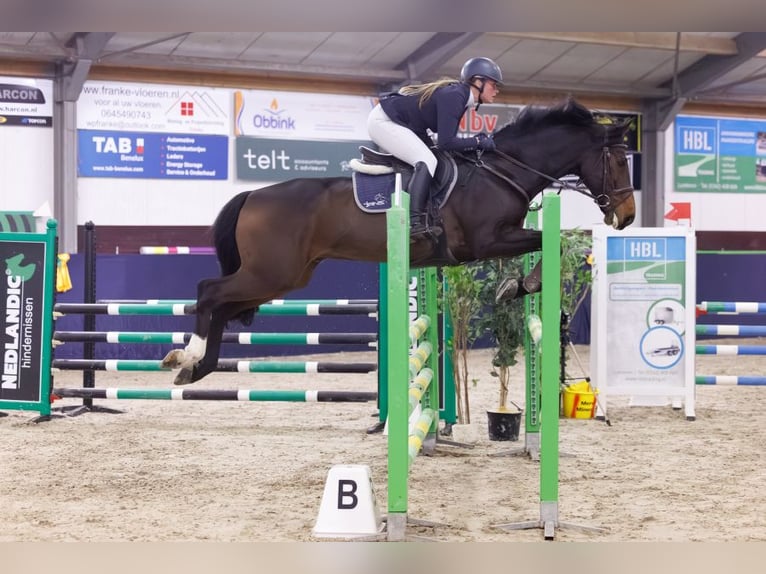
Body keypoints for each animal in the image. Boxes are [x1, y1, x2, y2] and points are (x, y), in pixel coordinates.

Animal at [162, 97, 636, 385]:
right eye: (616, 161)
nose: (628, 216)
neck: (503, 169)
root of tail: (252, 195)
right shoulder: (488, 242)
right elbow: (561, 238)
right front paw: (524, 284)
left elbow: (561, 238)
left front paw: (517, 285)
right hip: (270, 272)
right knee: (209, 292)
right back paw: (187, 358)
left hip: (284, 277)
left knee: (224, 305)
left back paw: (197, 369)